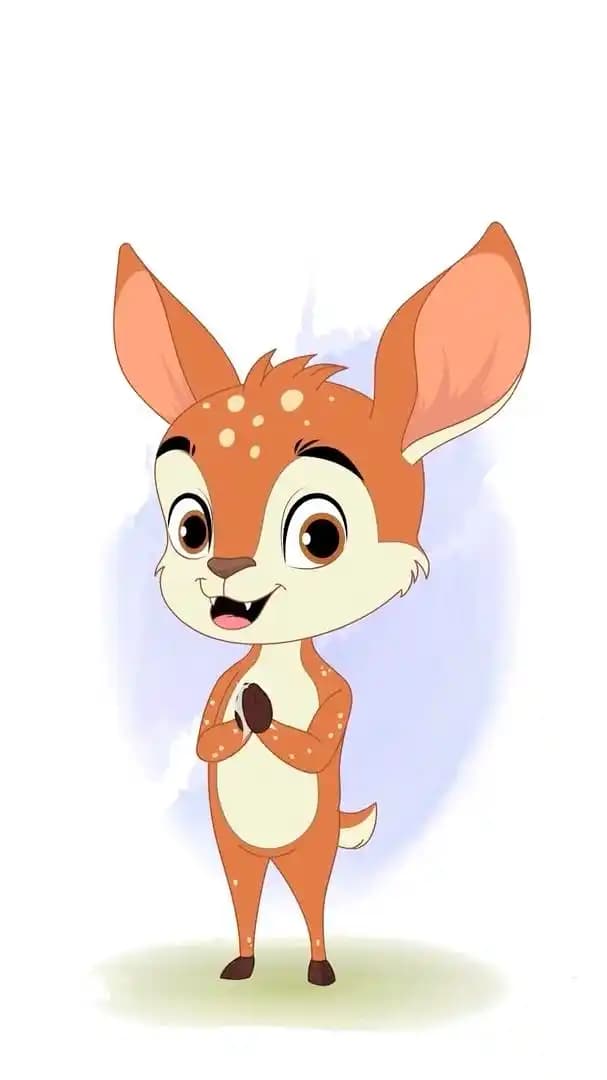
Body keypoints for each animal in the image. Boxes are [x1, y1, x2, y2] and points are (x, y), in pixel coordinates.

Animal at [112, 223, 530, 986]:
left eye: (319, 537)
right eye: (191, 527)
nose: (223, 570)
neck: (278, 660)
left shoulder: (338, 695)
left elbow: (313, 744)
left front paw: (260, 713)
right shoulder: (220, 683)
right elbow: (208, 735)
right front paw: (245, 712)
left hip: (308, 849)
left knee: (310, 901)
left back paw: (317, 969)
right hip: (234, 848)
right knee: (245, 898)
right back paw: (243, 963)